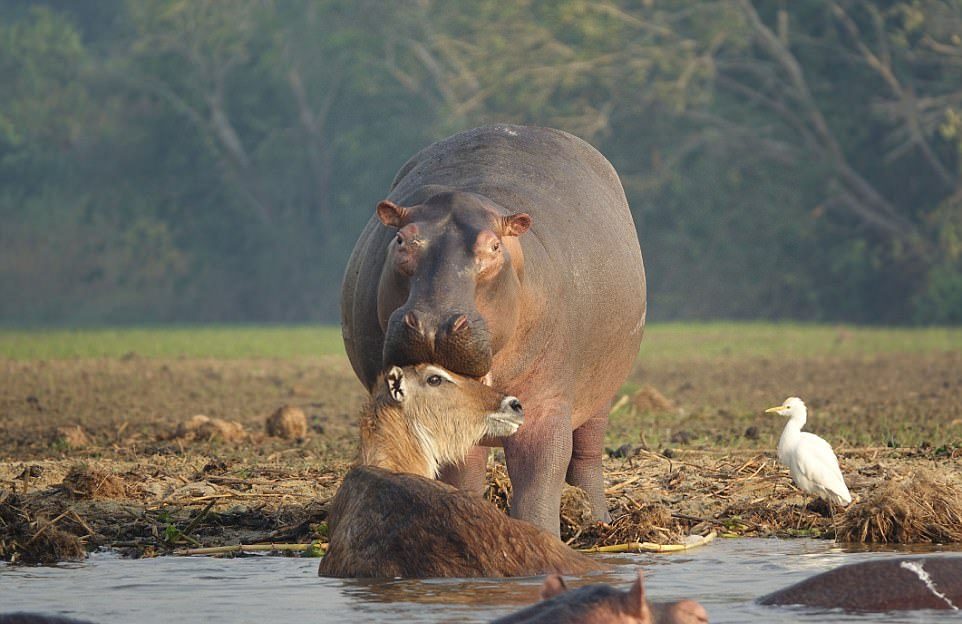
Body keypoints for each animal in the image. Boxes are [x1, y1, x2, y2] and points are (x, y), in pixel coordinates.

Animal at [340, 124, 644, 532]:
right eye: (402, 239)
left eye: (494, 247)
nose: (433, 323)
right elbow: (458, 472)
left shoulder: (548, 404)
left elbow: (541, 479)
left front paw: (541, 534)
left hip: (601, 391)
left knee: (587, 455)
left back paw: (598, 521)